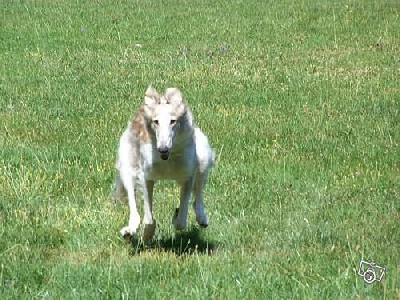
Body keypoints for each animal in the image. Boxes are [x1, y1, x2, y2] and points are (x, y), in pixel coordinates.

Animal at [111, 85, 214, 241]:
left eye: (173, 121)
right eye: (156, 121)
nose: (163, 148)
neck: (167, 159)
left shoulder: (187, 175)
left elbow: (181, 220)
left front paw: (176, 216)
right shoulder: (146, 177)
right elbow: (148, 218)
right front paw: (147, 235)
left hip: (203, 157)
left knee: (198, 197)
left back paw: (201, 218)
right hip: (127, 166)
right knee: (134, 208)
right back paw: (129, 230)